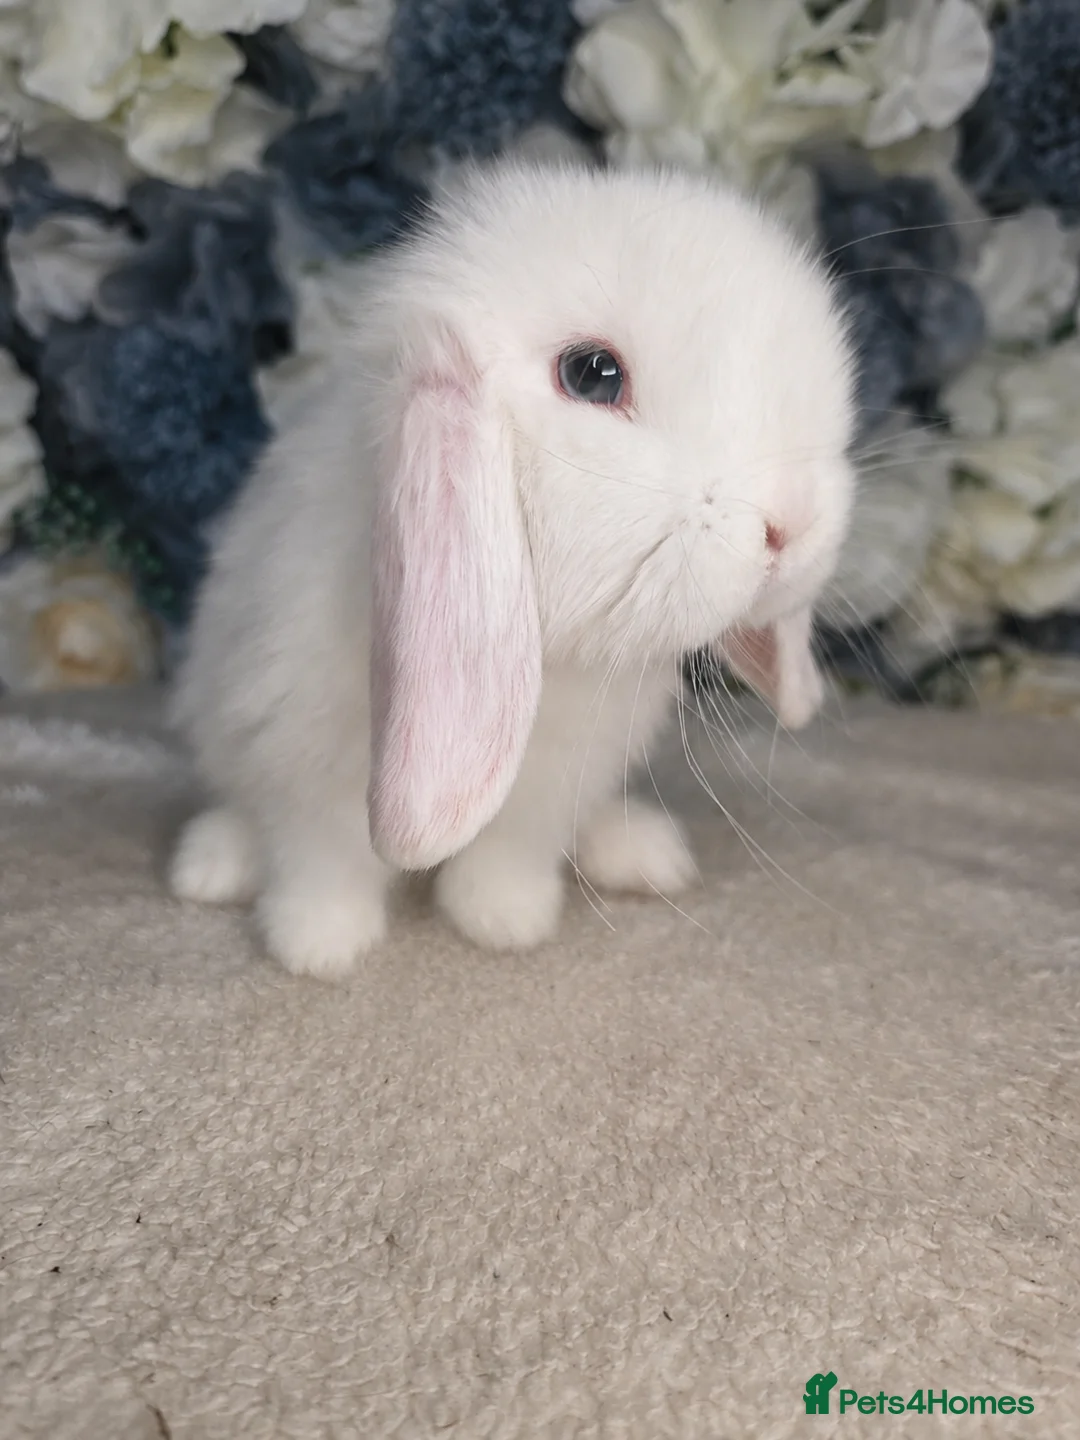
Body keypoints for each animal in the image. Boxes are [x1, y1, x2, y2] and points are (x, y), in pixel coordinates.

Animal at [168, 158, 856, 979]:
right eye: (593, 374)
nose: (793, 523)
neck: (555, 660)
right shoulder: (301, 763)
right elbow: (322, 859)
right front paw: (319, 946)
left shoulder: (552, 785)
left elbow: (509, 853)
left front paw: (504, 921)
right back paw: (212, 864)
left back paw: (641, 851)